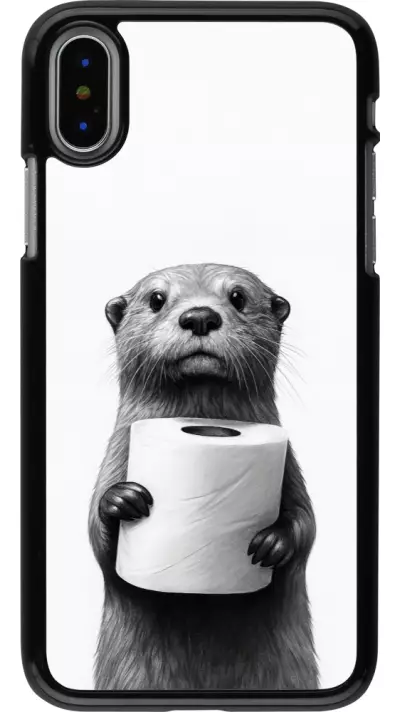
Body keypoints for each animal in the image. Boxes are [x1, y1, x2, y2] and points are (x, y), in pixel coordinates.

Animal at [89, 263, 318, 691]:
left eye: (238, 297)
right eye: (156, 298)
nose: (199, 316)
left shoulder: (290, 467)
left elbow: (307, 524)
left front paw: (273, 543)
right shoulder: (115, 456)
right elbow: (97, 539)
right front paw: (121, 500)